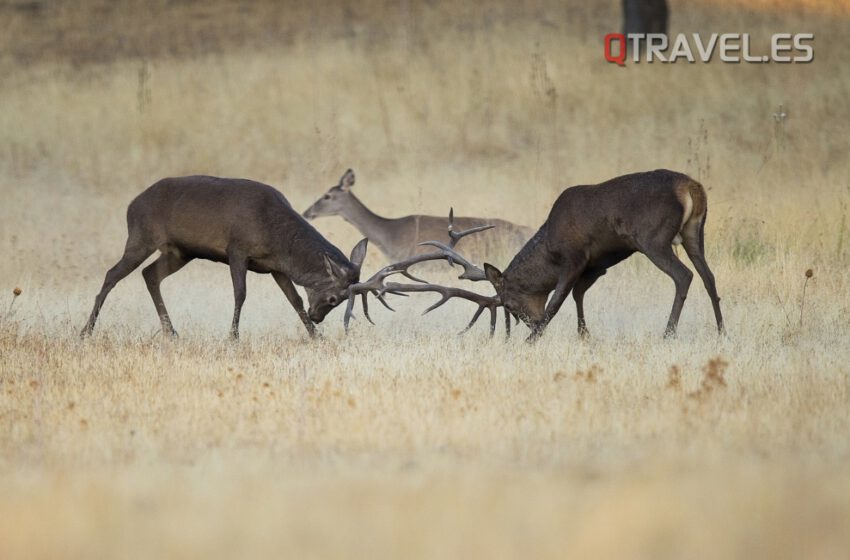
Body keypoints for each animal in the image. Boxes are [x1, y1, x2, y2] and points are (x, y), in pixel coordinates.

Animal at [79, 177, 368, 340]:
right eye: (334, 298)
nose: (317, 317)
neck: (277, 237)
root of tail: (131, 206)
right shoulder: (237, 249)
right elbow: (240, 293)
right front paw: (233, 336)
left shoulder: (276, 267)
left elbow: (294, 299)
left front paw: (315, 336)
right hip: (141, 237)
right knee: (112, 274)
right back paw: (86, 331)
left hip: (179, 252)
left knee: (149, 274)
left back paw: (171, 331)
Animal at [348, 167, 724, 342]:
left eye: (509, 303)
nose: (528, 321)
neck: (550, 249)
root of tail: (693, 188)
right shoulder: (595, 265)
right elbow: (578, 295)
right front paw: (584, 335)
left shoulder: (575, 257)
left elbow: (557, 300)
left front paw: (533, 339)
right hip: (695, 233)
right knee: (709, 276)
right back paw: (721, 330)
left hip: (653, 238)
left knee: (684, 276)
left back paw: (668, 333)